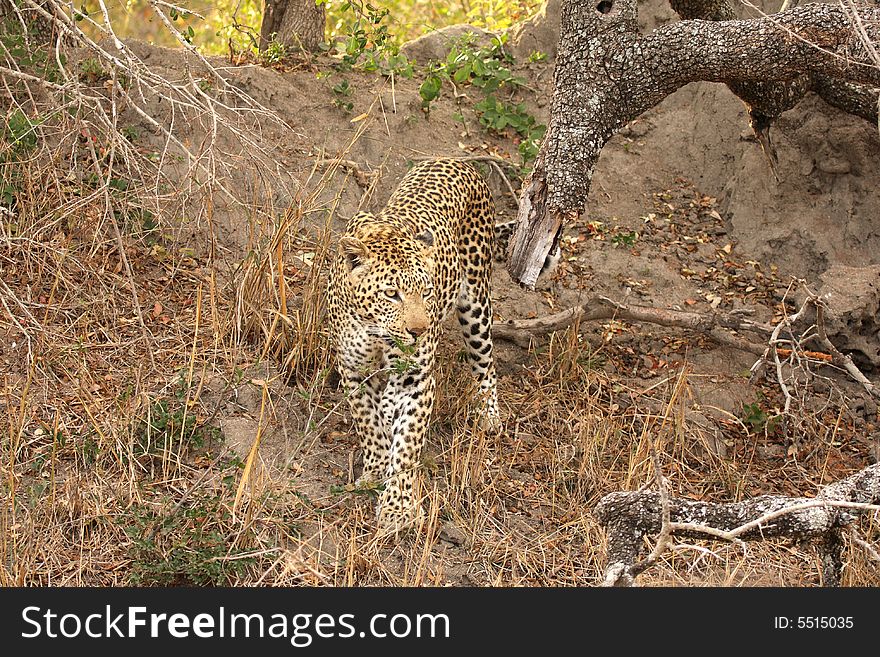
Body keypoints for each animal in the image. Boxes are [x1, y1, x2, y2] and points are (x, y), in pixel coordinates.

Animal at [326, 160, 502, 532]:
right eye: (392, 293)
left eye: (427, 291)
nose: (419, 331)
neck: (375, 332)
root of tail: (459, 161)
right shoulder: (352, 371)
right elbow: (368, 424)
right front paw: (375, 471)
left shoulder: (417, 380)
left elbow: (407, 446)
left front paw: (398, 508)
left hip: (476, 303)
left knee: (485, 361)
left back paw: (489, 415)